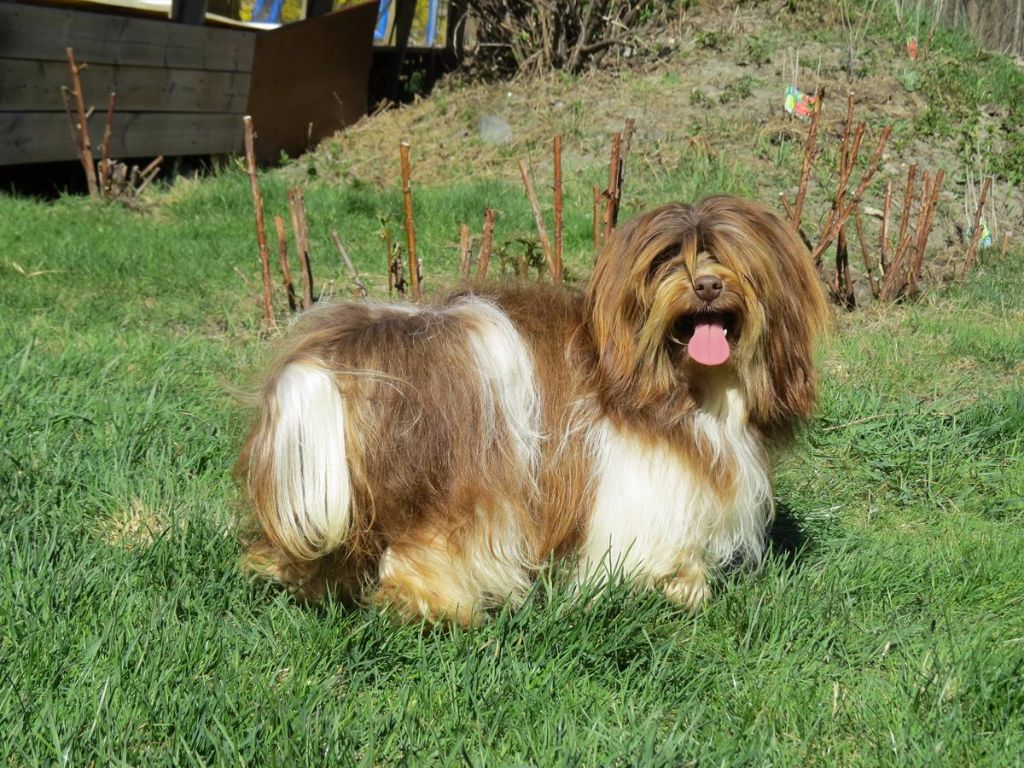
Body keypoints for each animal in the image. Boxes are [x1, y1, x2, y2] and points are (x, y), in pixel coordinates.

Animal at [237, 196, 828, 624]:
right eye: (666, 261)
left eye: (729, 256)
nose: (706, 283)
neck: (689, 382)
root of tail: (336, 360)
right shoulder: (639, 479)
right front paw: (679, 590)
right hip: (454, 483)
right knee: (423, 553)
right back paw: (447, 610)